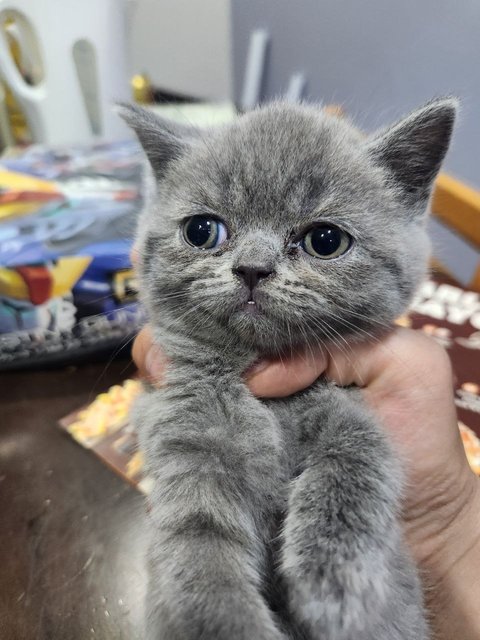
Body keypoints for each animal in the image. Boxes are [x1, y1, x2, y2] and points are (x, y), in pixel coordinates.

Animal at [118, 96, 456, 640]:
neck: (258, 393)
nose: (252, 268)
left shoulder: (351, 411)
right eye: (201, 231)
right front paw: (224, 621)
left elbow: (354, 466)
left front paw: (334, 581)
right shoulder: (179, 430)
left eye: (325, 240)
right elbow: (199, 541)